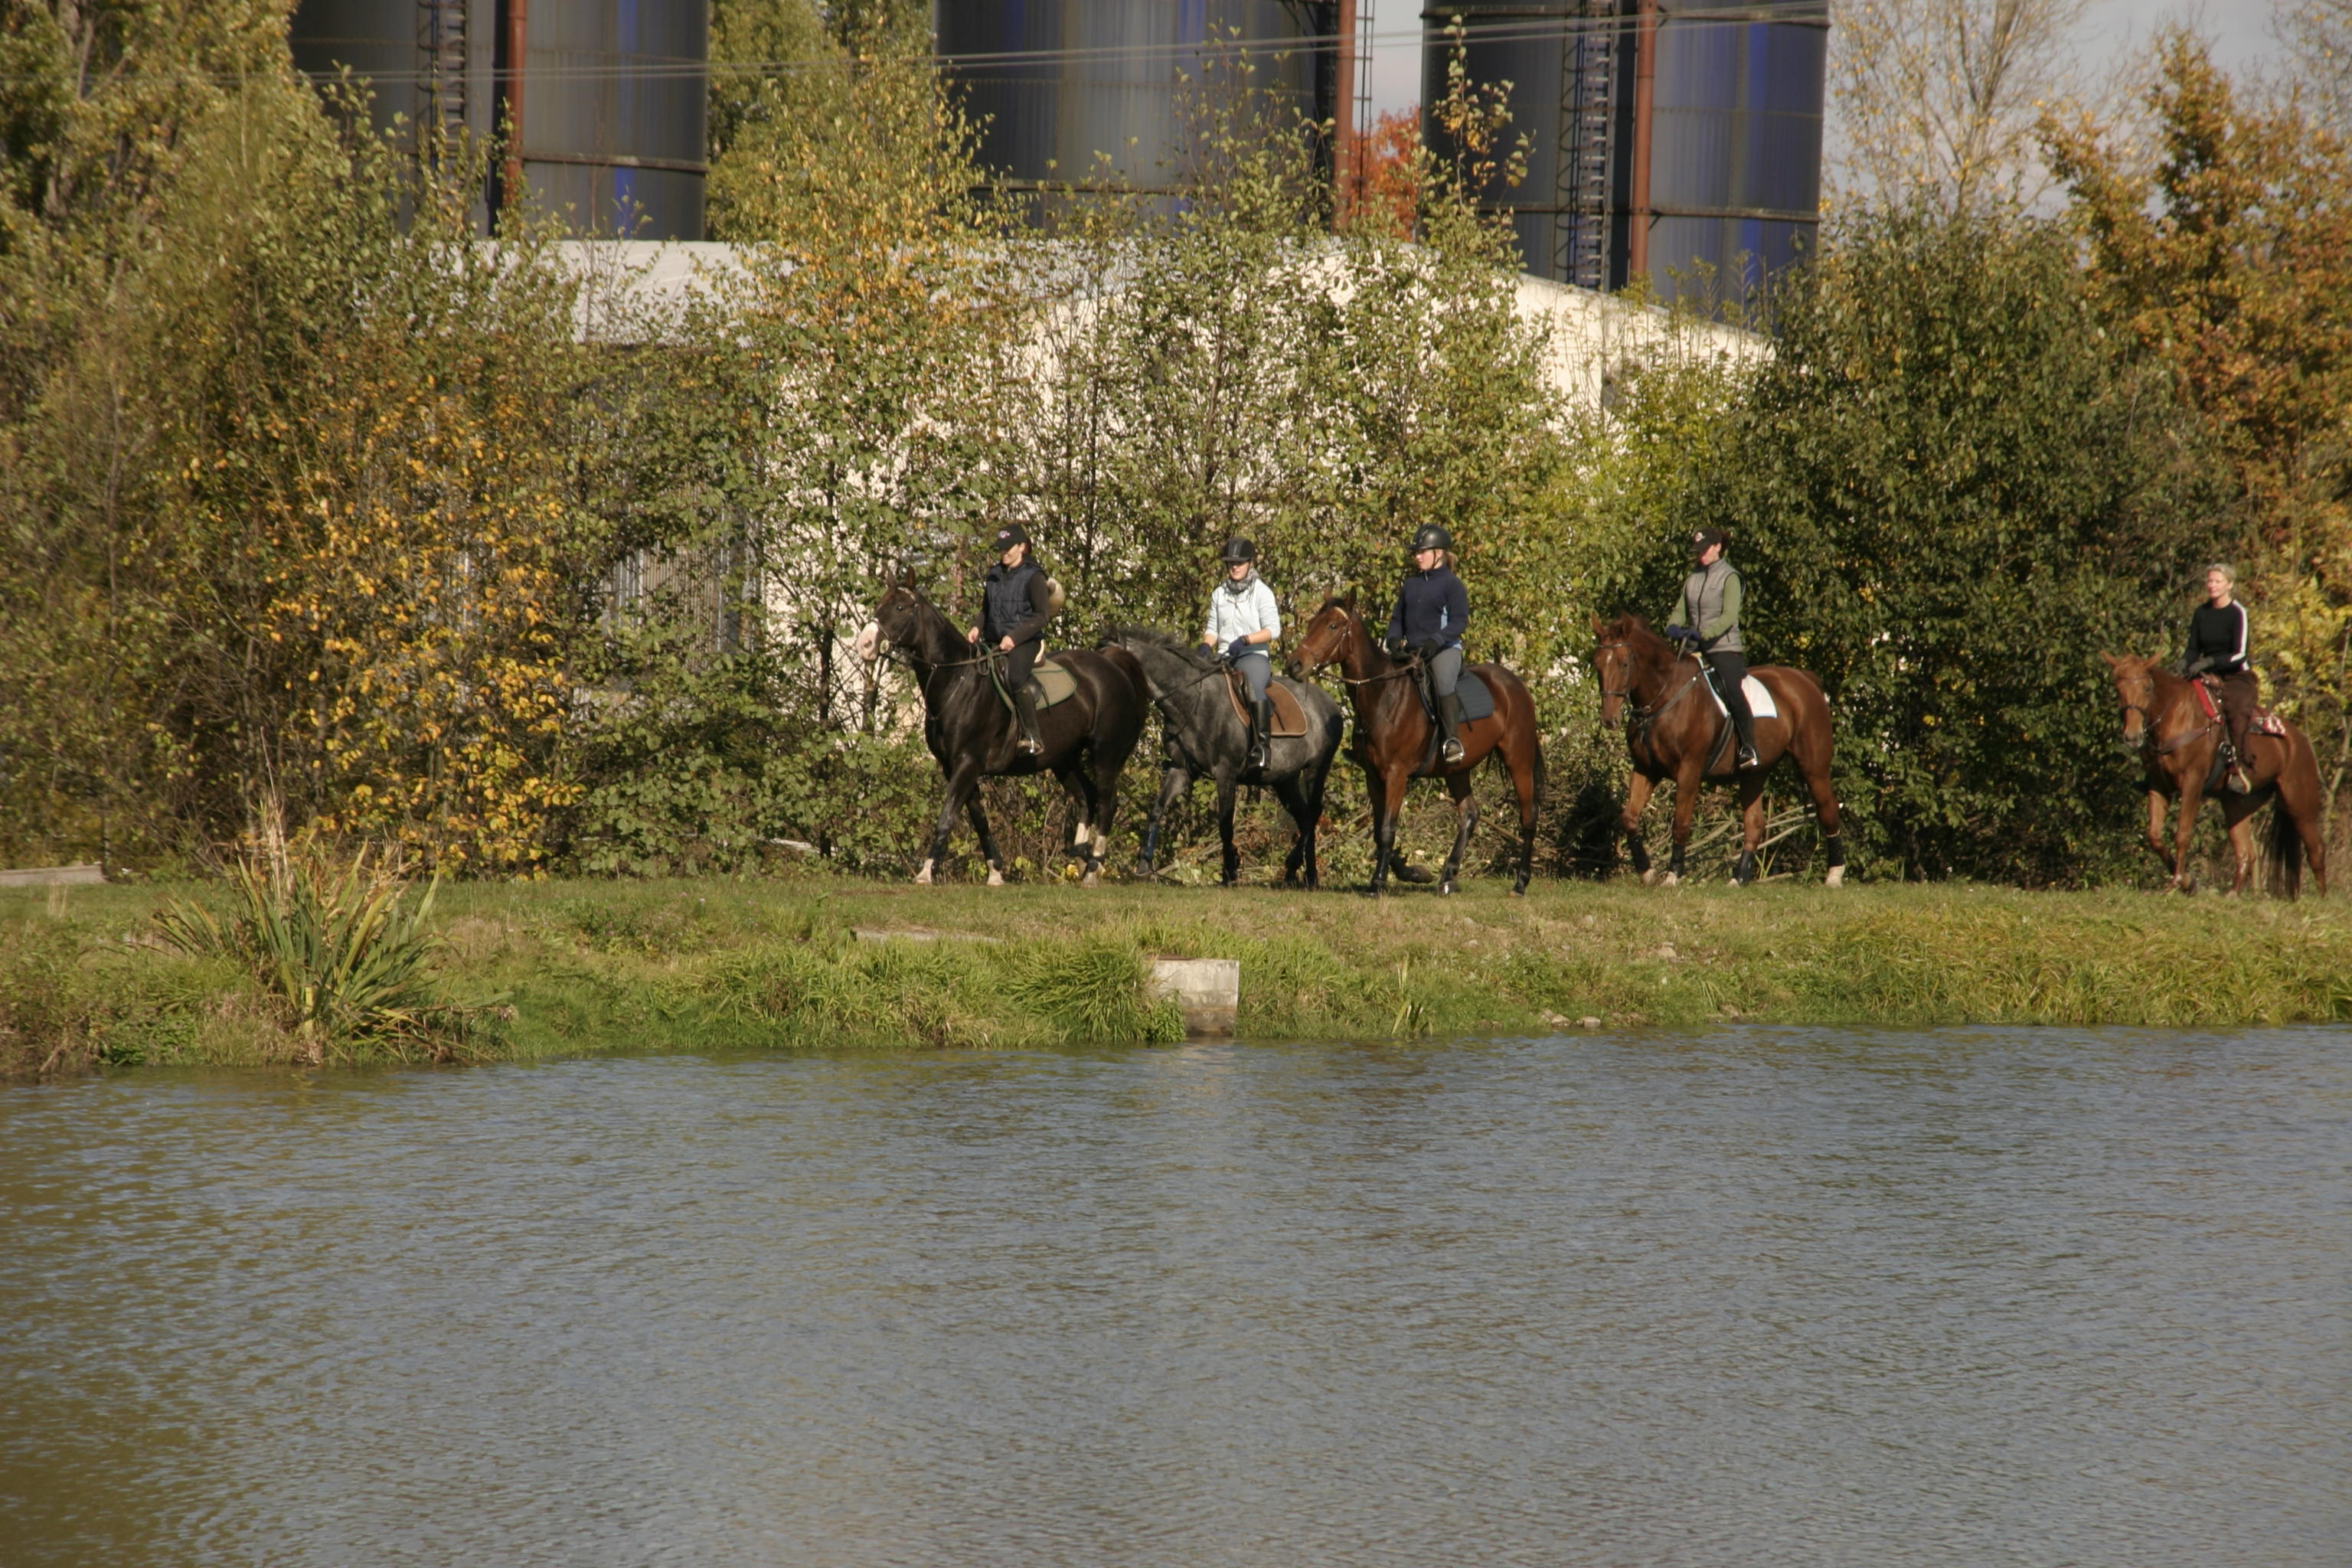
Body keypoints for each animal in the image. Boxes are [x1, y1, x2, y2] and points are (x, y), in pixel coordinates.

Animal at [870, 573, 1152, 888]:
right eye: (880, 604)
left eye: (900, 607)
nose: (868, 641)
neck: (959, 680)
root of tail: (1113, 666)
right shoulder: (954, 766)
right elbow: (979, 821)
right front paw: (995, 872)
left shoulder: (967, 763)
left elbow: (947, 816)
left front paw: (926, 872)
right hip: (1064, 761)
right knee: (1086, 798)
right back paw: (1081, 860)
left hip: (1106, 755)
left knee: (1106, 803)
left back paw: (1093, 869)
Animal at [1100, 629, 1345, 893]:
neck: (1192, 702)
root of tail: (1329, 703)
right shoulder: (1180, 770)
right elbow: (1156, 811)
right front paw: (1144, 866)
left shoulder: (1225, 773)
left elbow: (1225, 824)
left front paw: (1229, 872)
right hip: (1284, 779)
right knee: (1304, 816)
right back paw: (1304, 875)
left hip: (1316, 769)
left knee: (1313, 814)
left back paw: (1300, 869)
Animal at [1289, 587, 1543, 893]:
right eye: (1311, 623)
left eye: (1333, 626)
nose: (1295, 665)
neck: (1384, 697)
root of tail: (1516, 685)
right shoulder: (1374, 777)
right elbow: (1379, 830)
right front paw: (1407, 873)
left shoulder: (1396, 774)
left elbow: (1388, 828)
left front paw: (1379, 882)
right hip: (1456, 770)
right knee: (1469, 814)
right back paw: (1448, 877)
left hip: (1519, 760)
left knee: (1528, 816)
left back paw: (1520, 882)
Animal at [1589, 611, 1844, 884]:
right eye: (1598, 664)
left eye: (1624, 664)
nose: (1609, 719)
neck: (1663, 698)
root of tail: (1805, 680)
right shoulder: (1646, 769)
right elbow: (1629, 818)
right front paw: (1647, 873)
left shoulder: (1689, 771)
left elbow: (1680, 823)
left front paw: (1673, 875)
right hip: (1754, 774)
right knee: (1755, 824)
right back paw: (1739, 878)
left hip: (1814, 768)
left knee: (1828, 810)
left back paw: (1834, 874)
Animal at [2107, 648, 2324, 893]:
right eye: (2118, 690)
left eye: (2146, 688)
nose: (2132, 737)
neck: (2176, 717)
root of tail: (2300, 741)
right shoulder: (2158, 785)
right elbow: (2154, 836)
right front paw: (2187, 881)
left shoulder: (2192, 781)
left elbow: (2182, 833)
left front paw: (2179, 881)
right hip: (2237, 804)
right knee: (2246, 853)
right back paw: (2233, 893)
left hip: (2300, 803)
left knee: (2316, 851)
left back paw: (2321, 897)